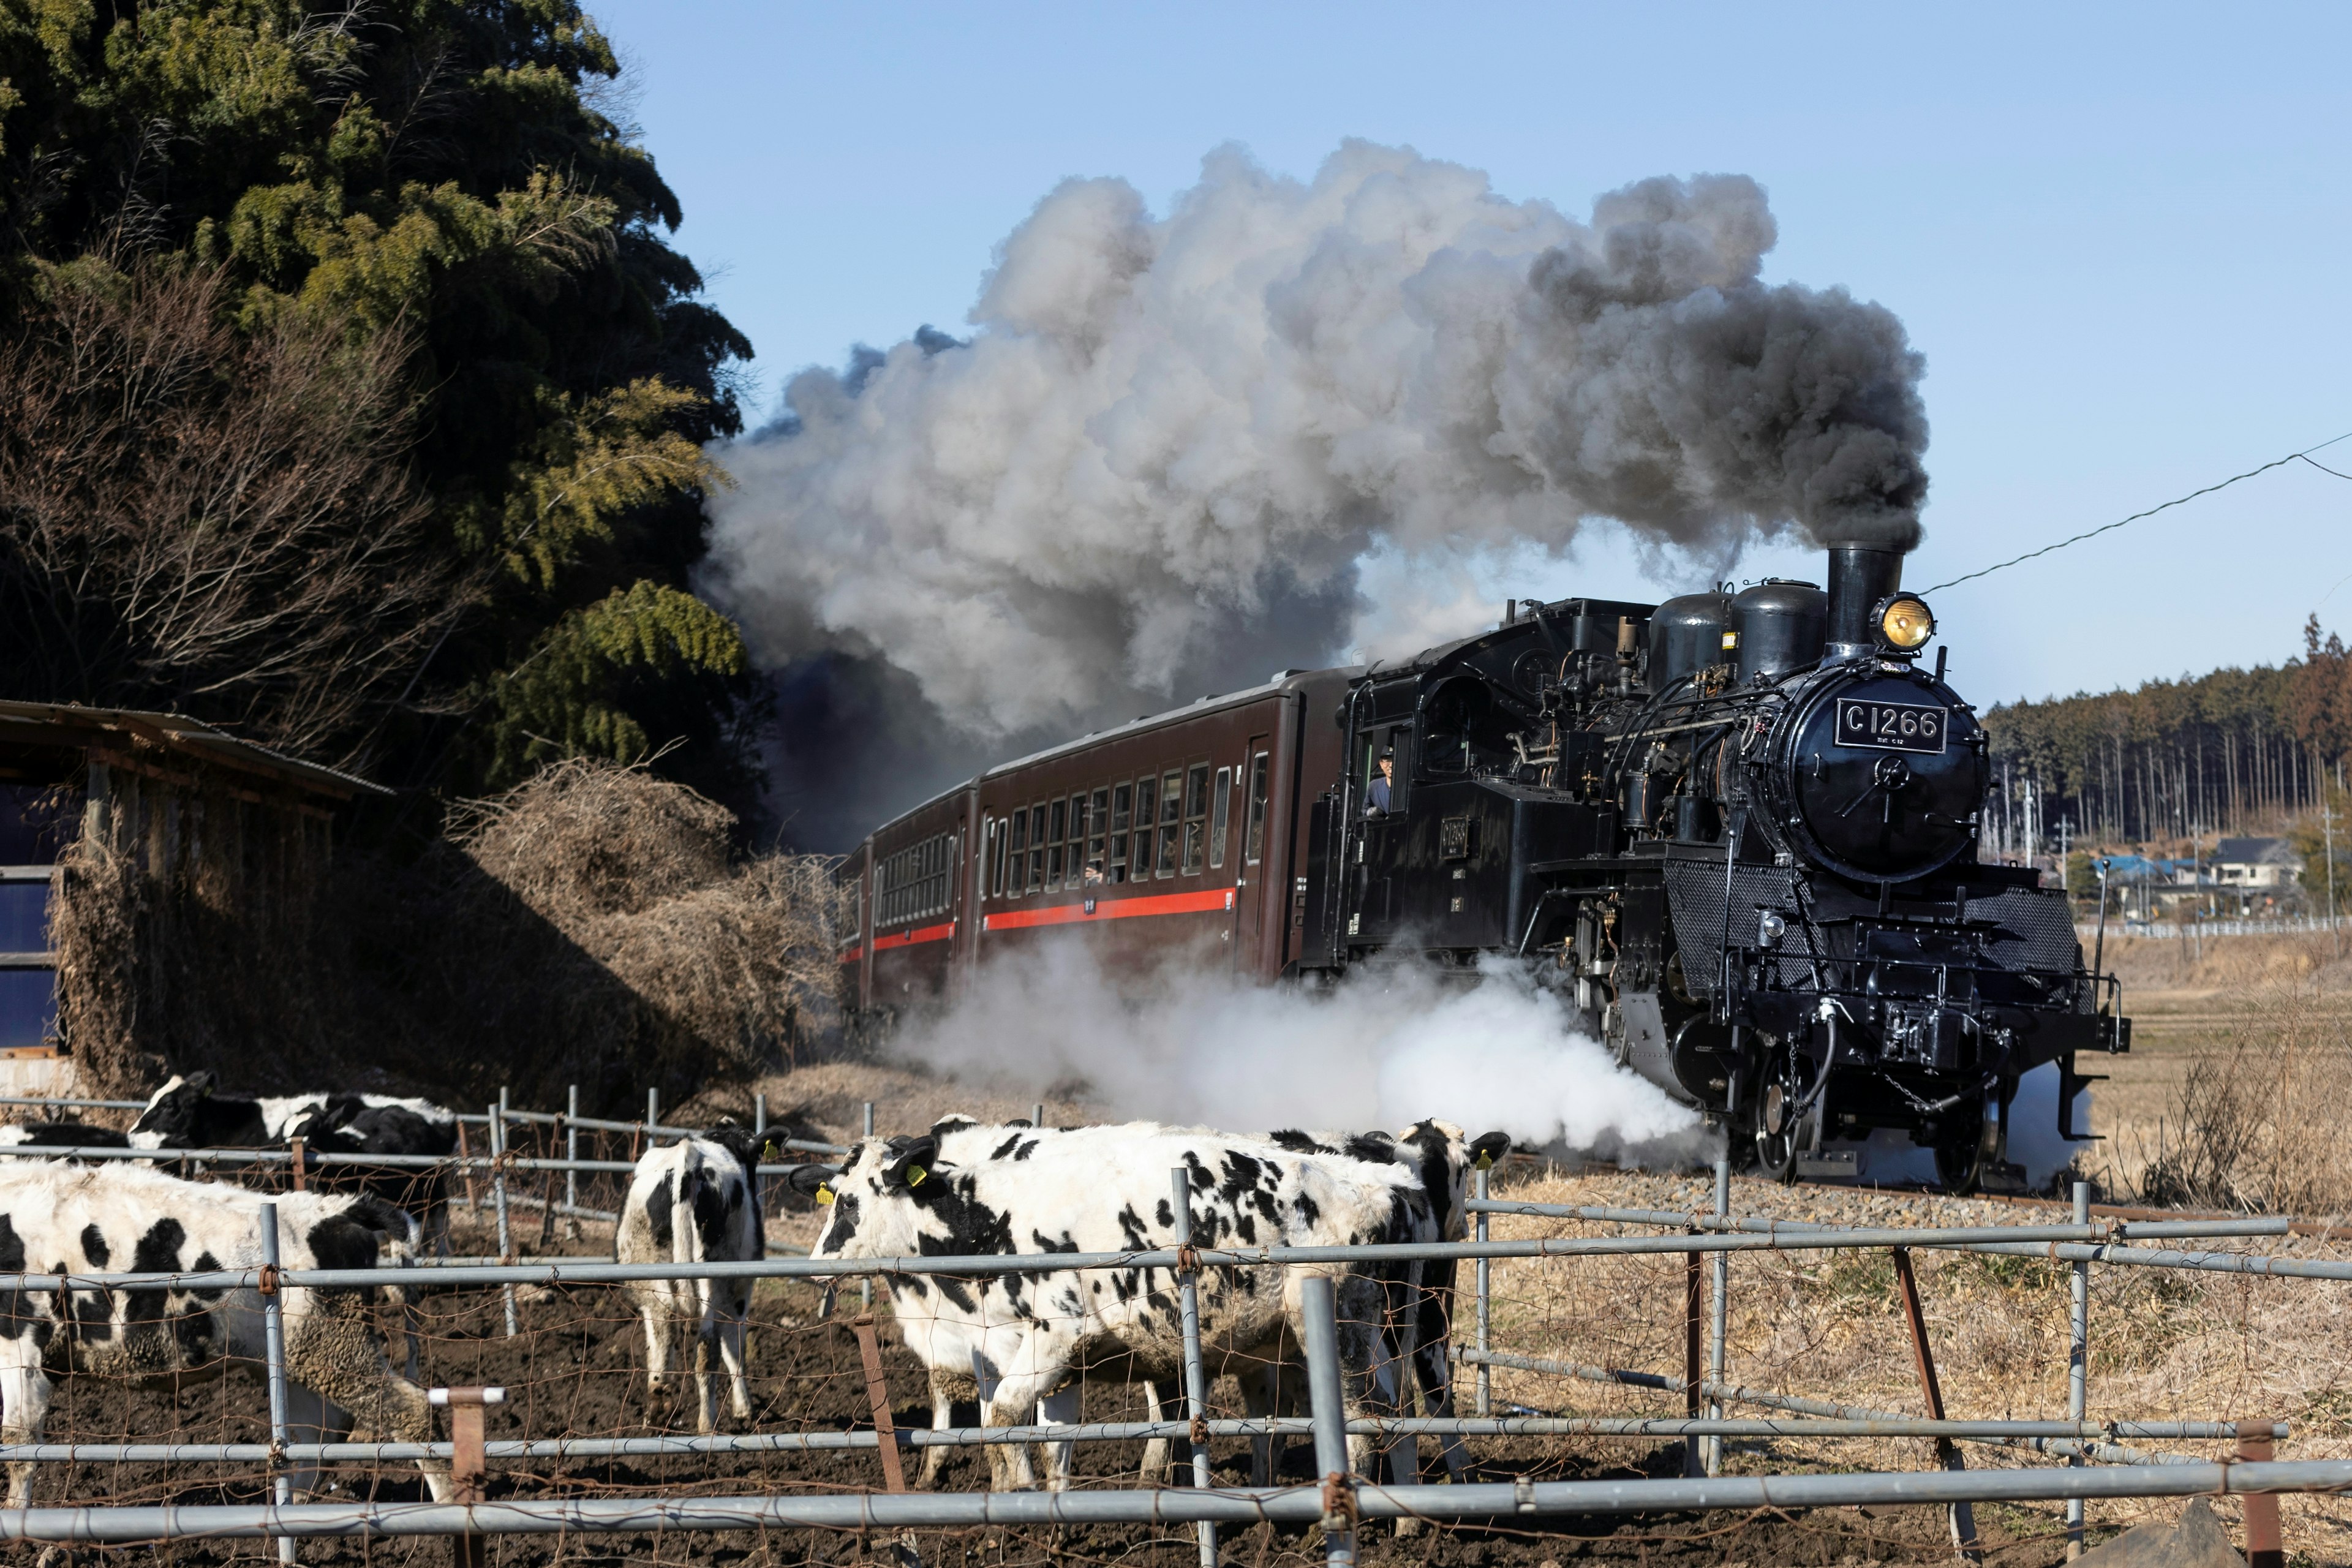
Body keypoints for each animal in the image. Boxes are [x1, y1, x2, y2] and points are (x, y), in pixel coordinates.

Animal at [0, 1166, 449, 1504]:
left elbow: (19, 1442)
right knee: (317, 1432)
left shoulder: (20, 1345)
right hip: (298, 1357)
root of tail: (339, 1209)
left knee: (411, 1412)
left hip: (332, 1346)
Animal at [616, 1128, 771, 1438]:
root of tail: (688, 1159)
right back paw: (707, 1423)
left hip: (651, 1280)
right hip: (714, 1282)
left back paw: (657, 1408)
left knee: (663, 1337)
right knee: (707, 1348)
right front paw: (744, 1408)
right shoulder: (740, 1293)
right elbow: (734, 1350)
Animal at [790, 1123, 1420, 1495]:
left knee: (1363, 1416)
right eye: (832, 1195)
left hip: (1339, 1330)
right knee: (1394, 1408)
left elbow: (1002, 1418)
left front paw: (1013, 1509)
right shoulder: (1035, 1352)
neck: (998, 1215)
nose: (815, 1263)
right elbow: (1049, 1438)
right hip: (1360, 1337)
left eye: (850, 1204)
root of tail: (1381, 1180)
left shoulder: (1054, 1335)